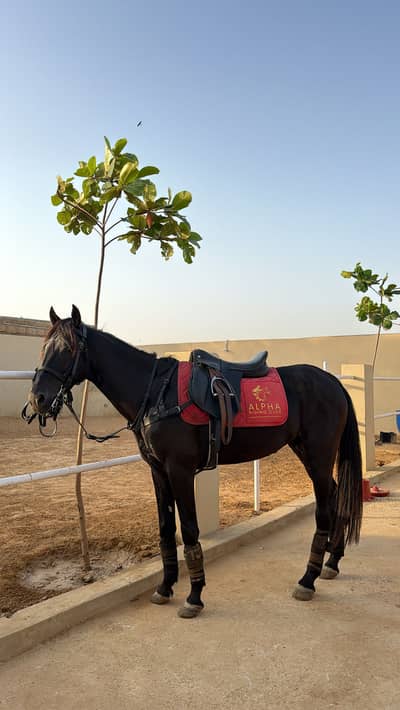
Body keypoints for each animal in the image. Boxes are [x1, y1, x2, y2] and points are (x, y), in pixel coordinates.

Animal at [27, 305, 363, 618]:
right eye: (44, 347)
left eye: (68, 349)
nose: (38, 399)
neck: (156, 393)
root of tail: (333, 382)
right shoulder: (158, 471)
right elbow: (165, 530)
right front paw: (165, 587)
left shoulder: (181, 471)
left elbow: (188, 530)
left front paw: (194, 596)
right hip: (306, 453)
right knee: (337, 497)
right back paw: (332, 562)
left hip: (319, 456)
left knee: (325, 509)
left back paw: (308, 579)